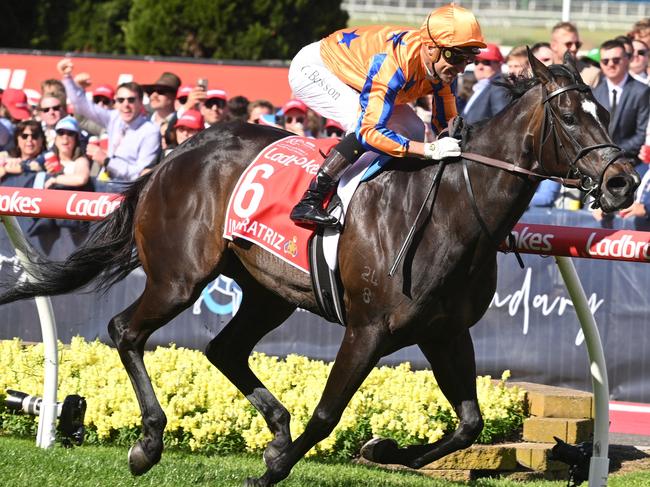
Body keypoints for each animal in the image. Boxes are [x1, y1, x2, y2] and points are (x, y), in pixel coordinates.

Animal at [0, 50, 636, 484]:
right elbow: (330, 411)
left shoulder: (445, 331)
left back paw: (274, 426)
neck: (455, 208)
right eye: (570, 118)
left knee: (223, 348)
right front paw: (273, 469)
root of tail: (178, 152)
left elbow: (470, 423)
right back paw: (149, 444)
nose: (623, 182)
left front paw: (377, 449)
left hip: (267, 291)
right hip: (180, 277)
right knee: (125, 330)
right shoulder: (368, 328)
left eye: (604, 110)